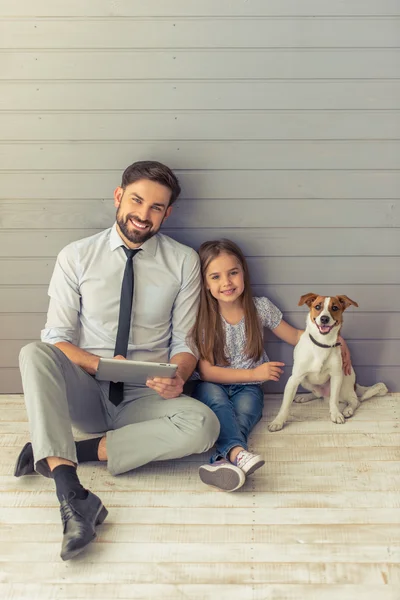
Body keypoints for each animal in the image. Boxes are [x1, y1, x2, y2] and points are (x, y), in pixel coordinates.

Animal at [268, 292, 388, 428]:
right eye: (317, 307)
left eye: (335, 308)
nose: (324, 319)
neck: (322, 344)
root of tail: (354, 386)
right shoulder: (294, 379)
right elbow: (285, 405)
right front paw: (278, 421)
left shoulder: (336, 376)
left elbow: (334, 401)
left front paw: (335, 414)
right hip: (305, 381)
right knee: (318, 394)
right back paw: (305, 397)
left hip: (344, 382)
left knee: (354, 400)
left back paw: (348, 409)